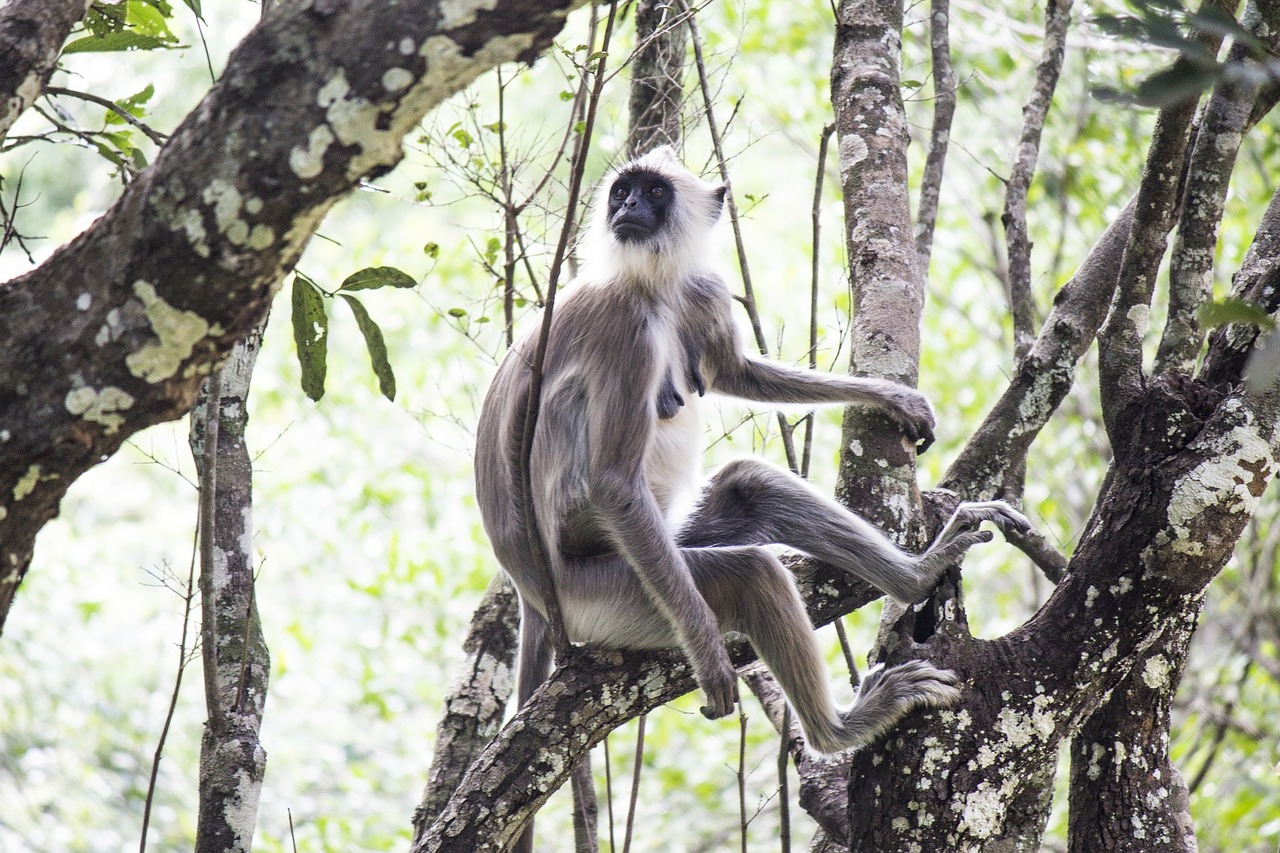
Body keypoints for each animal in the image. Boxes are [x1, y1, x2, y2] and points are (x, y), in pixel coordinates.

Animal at [473, 144, 1029, 758]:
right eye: (624, 191)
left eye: (653, 192)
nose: (629, 207)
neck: (653, 283)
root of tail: (530, 589)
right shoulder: (624, 326)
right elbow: (616, 485)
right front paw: (710, 656)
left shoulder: (701, 289)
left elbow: (735, 373)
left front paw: (891, 398)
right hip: (603, 594)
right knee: (752, 573)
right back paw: (839, 730)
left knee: (749, 484)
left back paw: (913, 578)